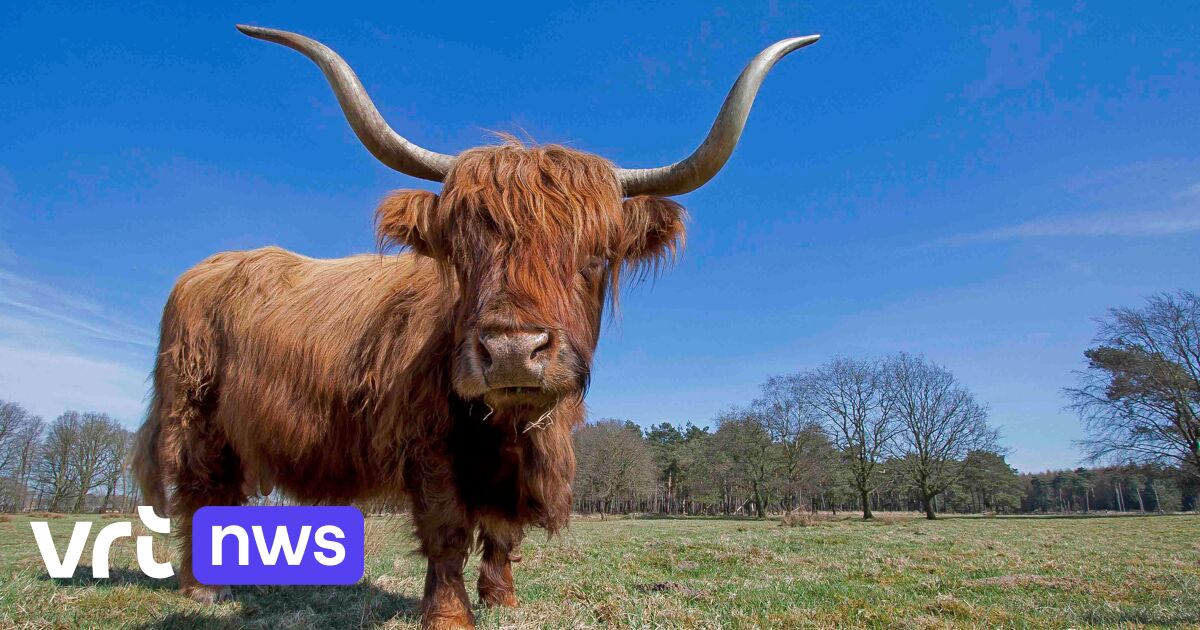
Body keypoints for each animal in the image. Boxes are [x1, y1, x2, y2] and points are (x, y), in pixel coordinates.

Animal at [132, 24, 819, 630]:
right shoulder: (427, 445)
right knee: (198, 490)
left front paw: (502, 598)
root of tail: (206, 267)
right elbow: (447, 530)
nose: (513, 350)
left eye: (595, 256)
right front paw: (448, 613)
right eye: (462, 250)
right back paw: (206, 589)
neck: (509, 427)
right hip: (195, 416)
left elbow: (502, 531)